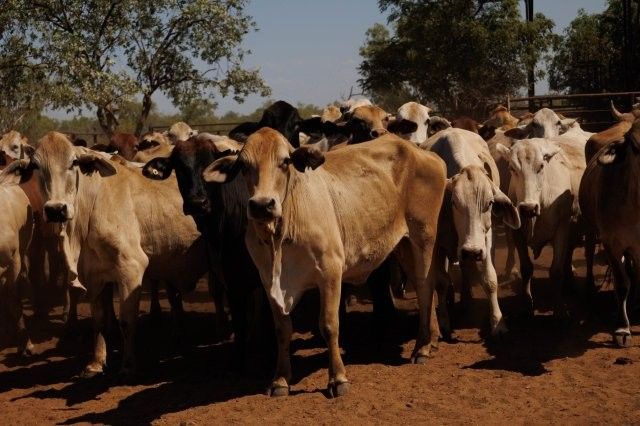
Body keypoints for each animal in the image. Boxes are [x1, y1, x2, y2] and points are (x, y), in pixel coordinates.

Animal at [0, 132, 209, 377]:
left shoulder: (132, 269)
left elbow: (127, 322)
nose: (56, 209)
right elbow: (98, 321)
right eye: (35, 166)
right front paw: (96, 362)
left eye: (74, 162)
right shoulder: (94, 276)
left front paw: (128, 365)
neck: (90, 207)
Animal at [201, 128, 446, 397]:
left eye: (285, 162)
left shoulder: (330, 273)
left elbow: (329, 325)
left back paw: (422, 347)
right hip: (402, 244)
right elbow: (282, 330)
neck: (282, 234)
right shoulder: (268, 281)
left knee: (425, 286)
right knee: (423, 287)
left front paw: (338, 379)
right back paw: (432, 338)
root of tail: (421, 151)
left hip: (423, 237)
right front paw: (280, 380)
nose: (262, 205)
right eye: (244, 166)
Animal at [422, 128, 520, 338]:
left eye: (490, 203)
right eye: (453, 202)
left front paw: (498, 323)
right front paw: (444, 322)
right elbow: (441, 282)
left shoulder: (485, 240)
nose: (472, 251)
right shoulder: (438, 245)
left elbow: (490, 279)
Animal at [495, 130, 587, 316]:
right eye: (512, 168)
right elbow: (526, 268)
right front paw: (527, 303)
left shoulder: (562, 228)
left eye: (541, 167)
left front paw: (559, 308)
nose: (528, 208)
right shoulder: (517, 233)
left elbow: (556, 271)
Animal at [579, 119, 640, 347]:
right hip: (590, 227)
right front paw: (623, 328)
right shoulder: (611, 244)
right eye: (635, 144)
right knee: (589, 252)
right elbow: (622, 284)